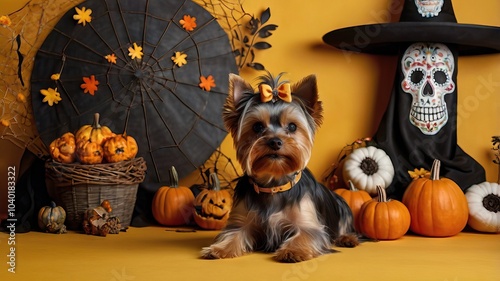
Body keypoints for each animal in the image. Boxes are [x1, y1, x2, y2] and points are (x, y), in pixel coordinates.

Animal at [200, 72, 360, 262]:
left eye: (292, 126)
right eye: (257, 126)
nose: (275, 141)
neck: (274, 185)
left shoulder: (310, 225)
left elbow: (305, 235)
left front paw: (292, 251)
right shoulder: (241, 220)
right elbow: (234, 234)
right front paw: (218, 249)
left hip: (343, 207)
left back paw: (348, 238)